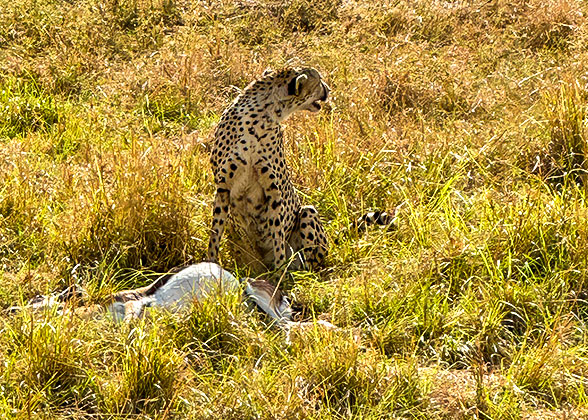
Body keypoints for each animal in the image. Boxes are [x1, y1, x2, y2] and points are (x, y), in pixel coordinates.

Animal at [207, 67, 330, 270]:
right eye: (319, 81)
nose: (328, 89)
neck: (261, 116)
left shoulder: (274, 191)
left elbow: (277, 235)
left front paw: (280, 271)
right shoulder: (223, 188)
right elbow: (215, 232)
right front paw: (210, 263)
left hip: (307, 212)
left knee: (308, 264)